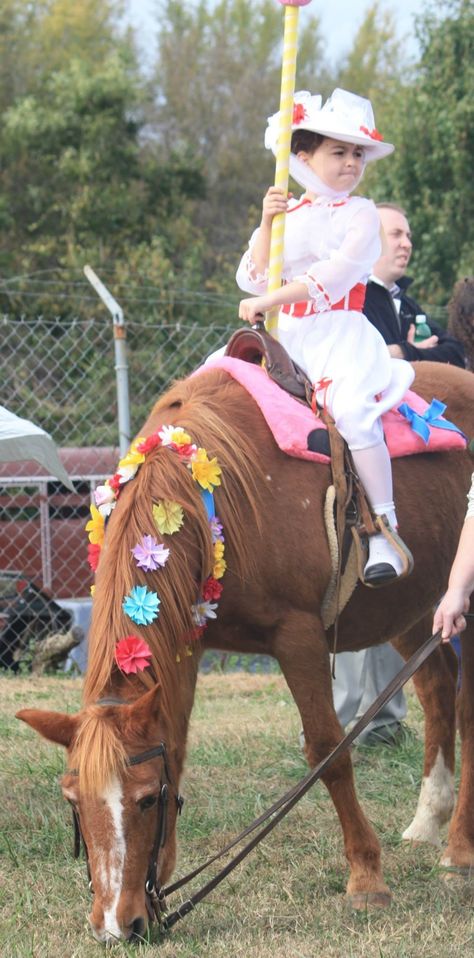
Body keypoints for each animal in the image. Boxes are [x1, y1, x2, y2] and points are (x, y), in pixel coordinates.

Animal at [16, 360, 474, 944]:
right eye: (72, 801)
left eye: (145, 799)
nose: (117, 927)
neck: (215, 495)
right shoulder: (187, 645)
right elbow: (176, 747)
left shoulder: (298, 636)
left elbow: (329, 753)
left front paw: (367, 877)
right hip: (414, 609)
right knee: (437, 687)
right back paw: (428, 819)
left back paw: (459, 847)